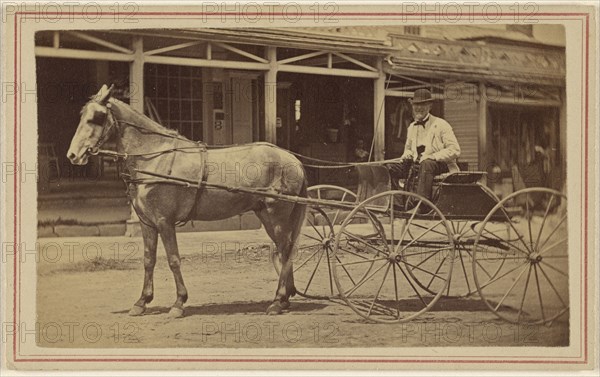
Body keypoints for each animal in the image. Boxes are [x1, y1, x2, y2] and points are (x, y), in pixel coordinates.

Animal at [68, 83, 308, 316]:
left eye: (97, 117)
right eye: (82, 115)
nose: (73, 155)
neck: (153, 157)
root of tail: (292, 159)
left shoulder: (165, 222)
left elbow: (173, 259)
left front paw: (178, 303)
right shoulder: (147, 223)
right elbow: (148, 260)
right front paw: (142, 302)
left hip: (277, 215)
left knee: (285, 249)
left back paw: (278, 301)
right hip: (265, 214)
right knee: (284, 250)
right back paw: (284, 299)